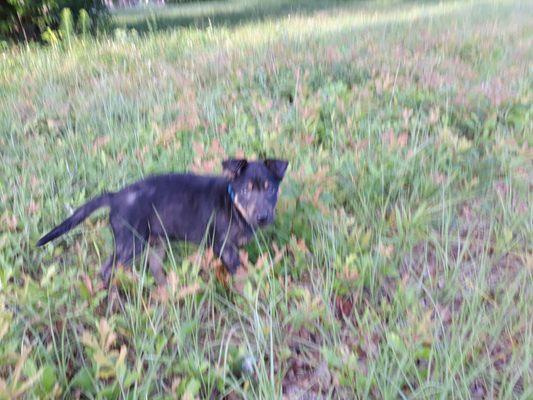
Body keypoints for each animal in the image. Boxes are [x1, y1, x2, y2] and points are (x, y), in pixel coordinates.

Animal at [37, 158, 286, 286]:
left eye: (271, 189)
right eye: (246, 191)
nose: (263, 217)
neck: (233, 204)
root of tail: (115, 196)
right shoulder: (224, 247)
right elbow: (241, 273)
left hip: (154, 243)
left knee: (152, 268)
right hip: (131, 243)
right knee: (107, 268)